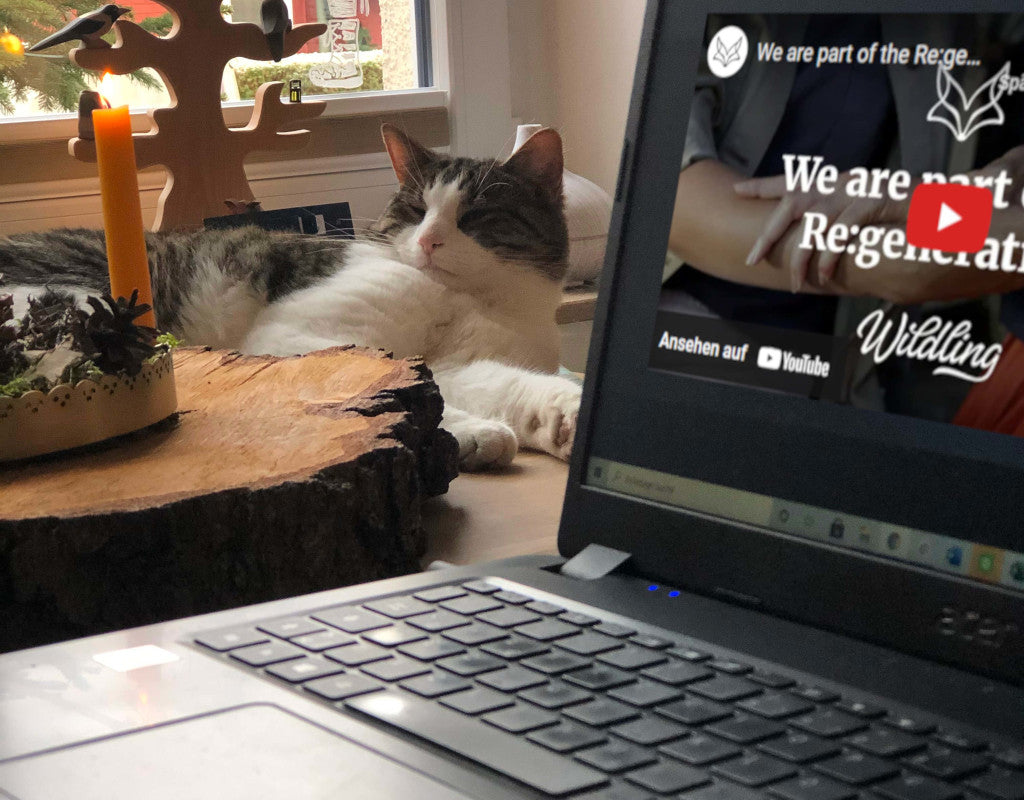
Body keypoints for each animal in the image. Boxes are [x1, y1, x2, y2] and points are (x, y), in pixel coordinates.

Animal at [0, 126, 585, 469]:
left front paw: (566, 418)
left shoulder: (464, 360)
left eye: (476, 217)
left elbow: (498, 383)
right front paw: (461, 432)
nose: (427, 241)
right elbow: (403, 391)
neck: (476, 300)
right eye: (416, 211)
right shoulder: (297, 338)